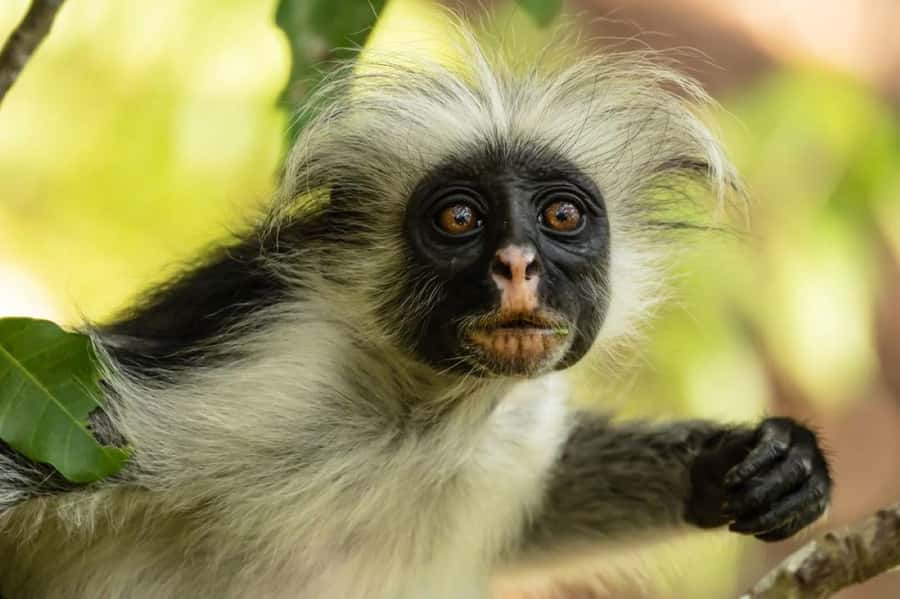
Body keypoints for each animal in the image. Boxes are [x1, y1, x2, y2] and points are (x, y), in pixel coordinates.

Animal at [0, 25, 830, 599]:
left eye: (561, 216)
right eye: (459, 219)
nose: (517, 264)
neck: (421, 416)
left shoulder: (513, 426)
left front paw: (757, 462)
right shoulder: (266, 370)